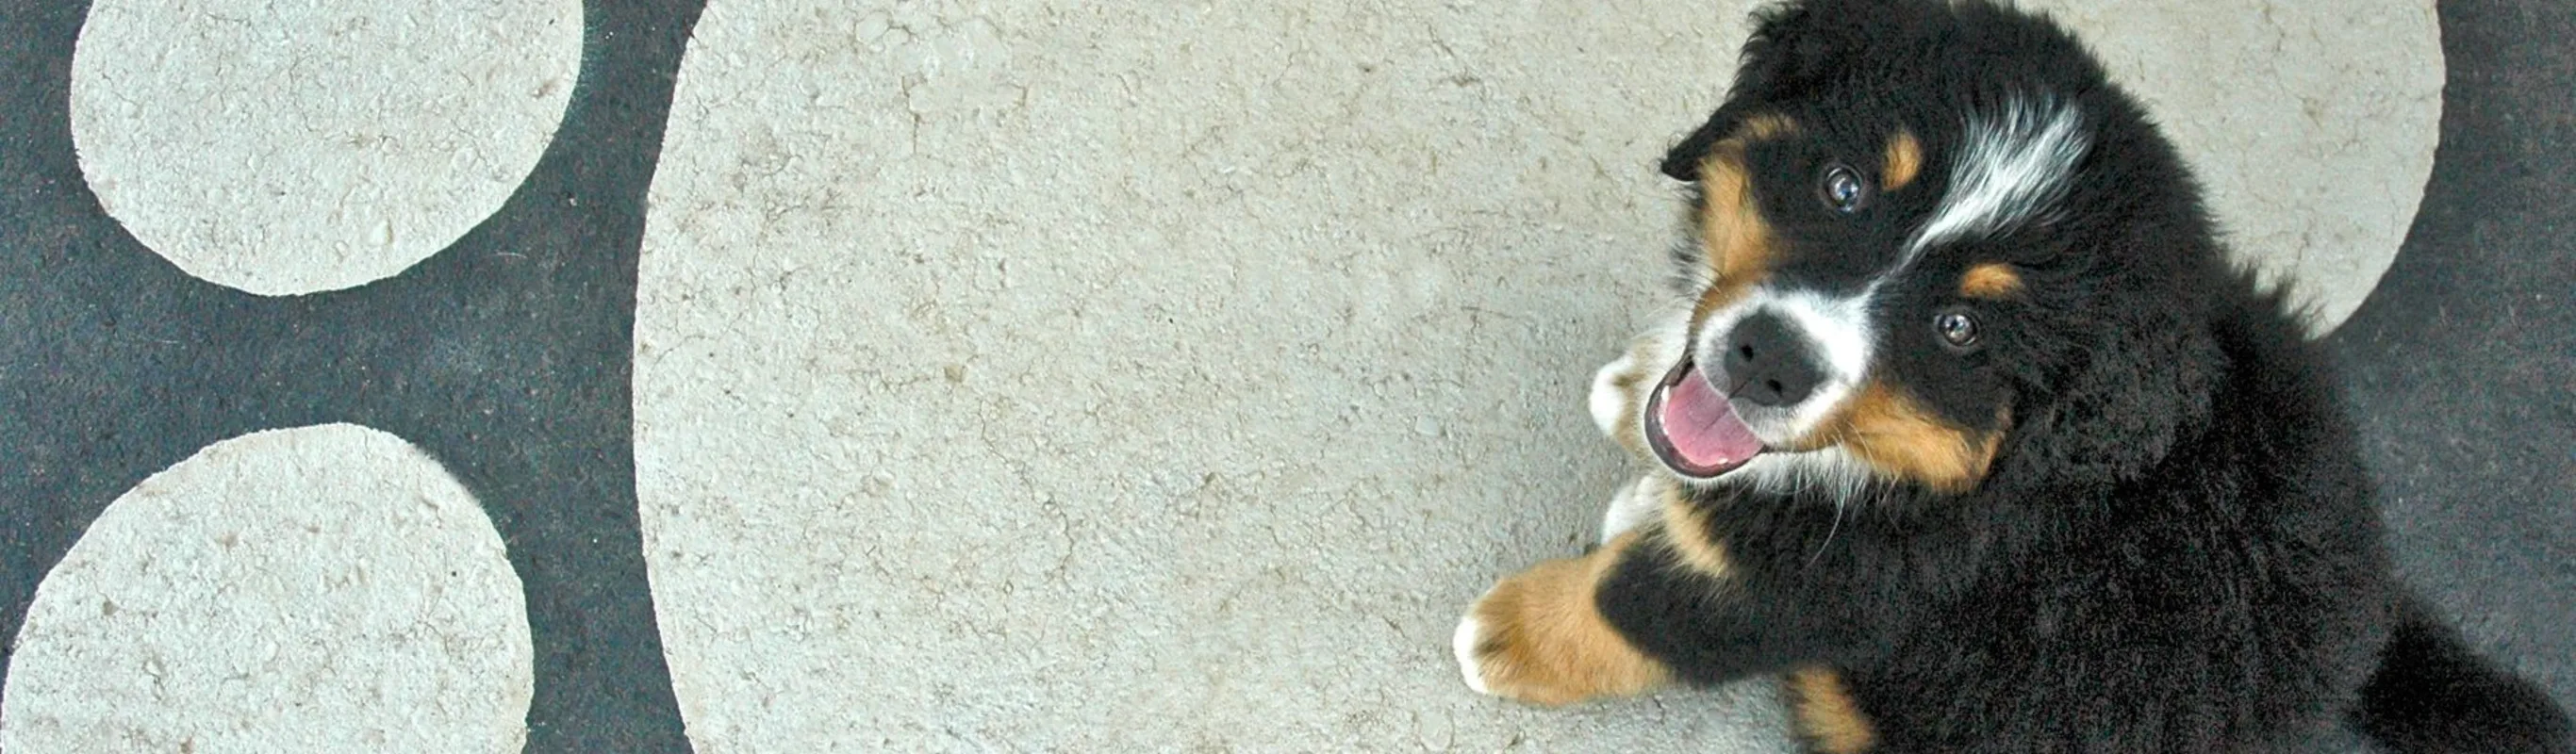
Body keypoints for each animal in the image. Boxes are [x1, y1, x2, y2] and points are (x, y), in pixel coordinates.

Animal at [1452, 3, 2576, 746]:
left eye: (1959, 330)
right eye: (1843, 186)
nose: (1765, 360)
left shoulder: (1836, 583)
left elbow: (1639, 604)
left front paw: (1510, 637)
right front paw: (1640, 409)